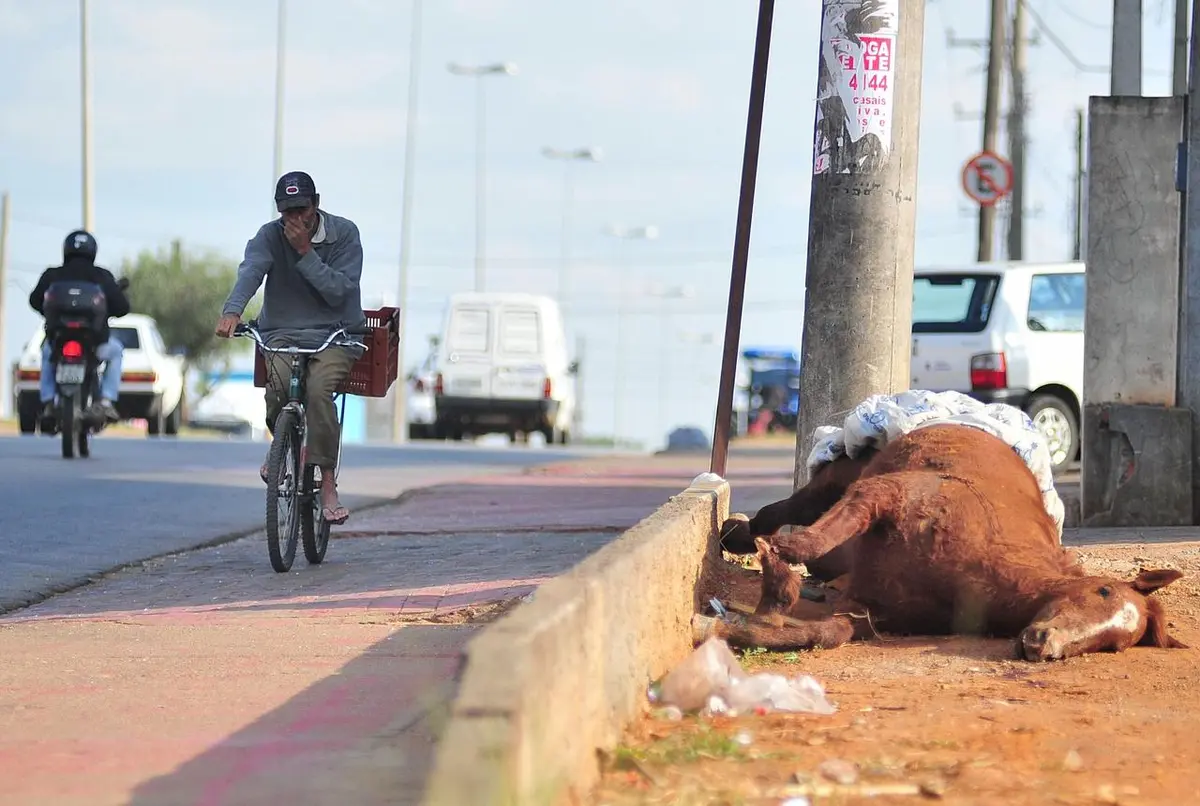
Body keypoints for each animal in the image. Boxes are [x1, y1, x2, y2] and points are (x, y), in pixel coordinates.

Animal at [700, 422, 1185, 662]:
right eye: (1103, 591)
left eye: (1114, 643)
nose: (1044, 646)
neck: (975, 572)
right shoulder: (882, 493)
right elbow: (812, 538)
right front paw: (777, 569)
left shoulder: (871, 610)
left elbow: (827, 631)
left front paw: (752, 618)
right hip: (834, 482)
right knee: (783, 512)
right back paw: (738, 536)